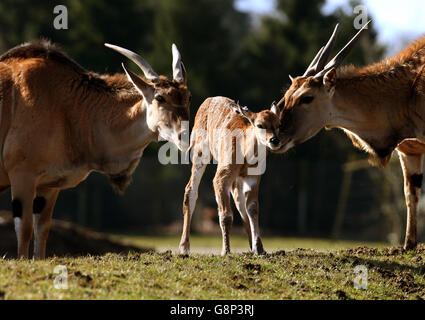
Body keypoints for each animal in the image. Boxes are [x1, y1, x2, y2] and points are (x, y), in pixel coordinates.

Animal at [0, 40, 190, 260]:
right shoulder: (22, 175)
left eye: (188, 97)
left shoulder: (48, 186)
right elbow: (24, 229)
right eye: (160, 98)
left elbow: (42, 230)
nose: (185, 137)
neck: (71, 108)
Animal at [179, 96, 282, 256]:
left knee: (239, 201)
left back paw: (252, 247)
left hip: (237, 179)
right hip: (199, 151)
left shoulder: (254, 177)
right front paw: (226, 250)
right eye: (259, 125)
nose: (274, 140)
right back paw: (184, 247)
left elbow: (253, 209)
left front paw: (259, 249)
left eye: (279, 124)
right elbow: (226, 214)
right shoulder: (221, 176)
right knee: (190, 189)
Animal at [276, 22, 424, 249]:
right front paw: (409, 245)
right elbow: (410, 193)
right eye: (287, 96)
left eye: (306, 98)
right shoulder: (409, 151)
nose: (274, 139)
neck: (406, 92)